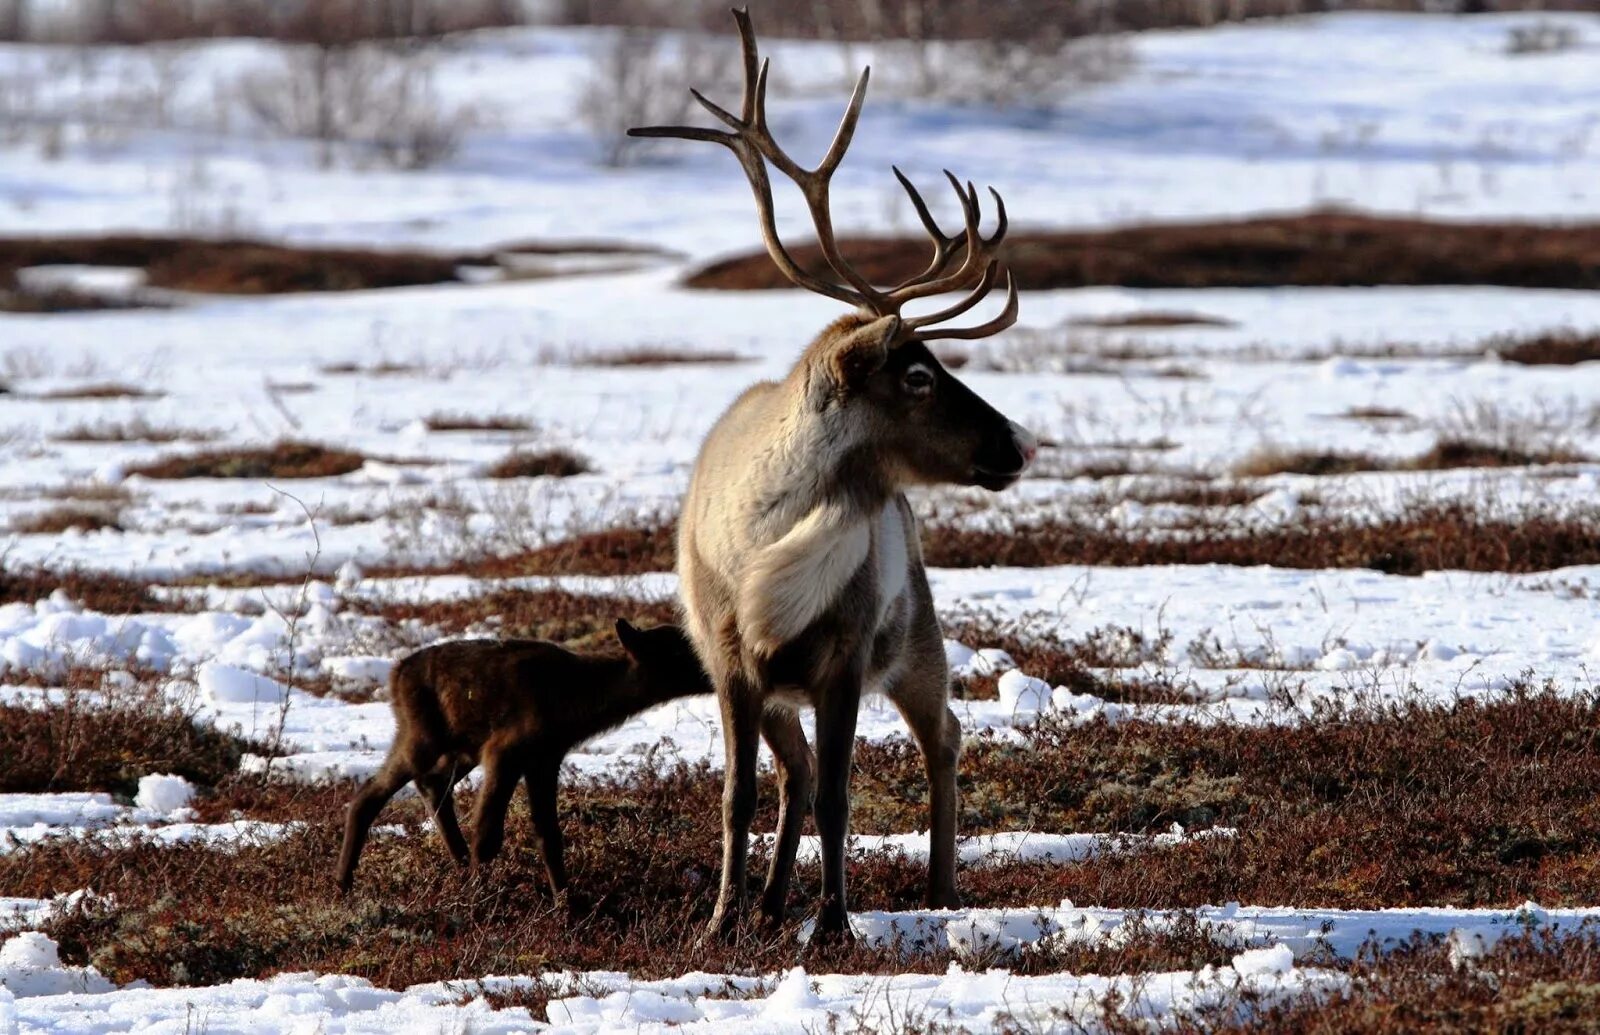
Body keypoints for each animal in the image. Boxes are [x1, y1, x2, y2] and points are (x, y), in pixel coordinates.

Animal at [336, 620, 707, 895]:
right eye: (678, 649)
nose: (712, 669)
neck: (579, 705)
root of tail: (395, 674)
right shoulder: (505, 750)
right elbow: (488, 834)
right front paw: (481, 894)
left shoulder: (544, 758)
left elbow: (549, 835)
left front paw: (566, 904)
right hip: (422, 736)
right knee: (371, 793)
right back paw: (343, 881)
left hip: (460, 746)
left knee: (432, 782)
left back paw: (457, 864)